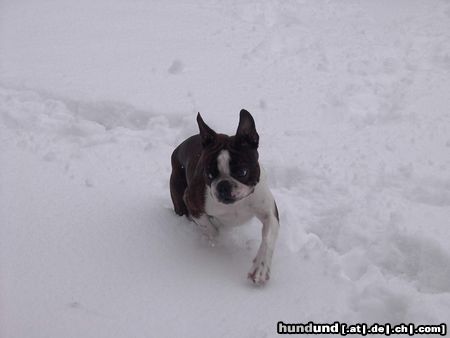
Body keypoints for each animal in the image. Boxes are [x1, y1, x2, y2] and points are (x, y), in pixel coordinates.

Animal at [171, 110, 280, 286]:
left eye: (242, 172)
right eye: (208, 174)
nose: (223, 185)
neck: (236, 204)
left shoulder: (268, 212)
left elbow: (268, 238)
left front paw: (260, 269)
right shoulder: (191, 200)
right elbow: (211, 229)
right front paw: (215, 236)